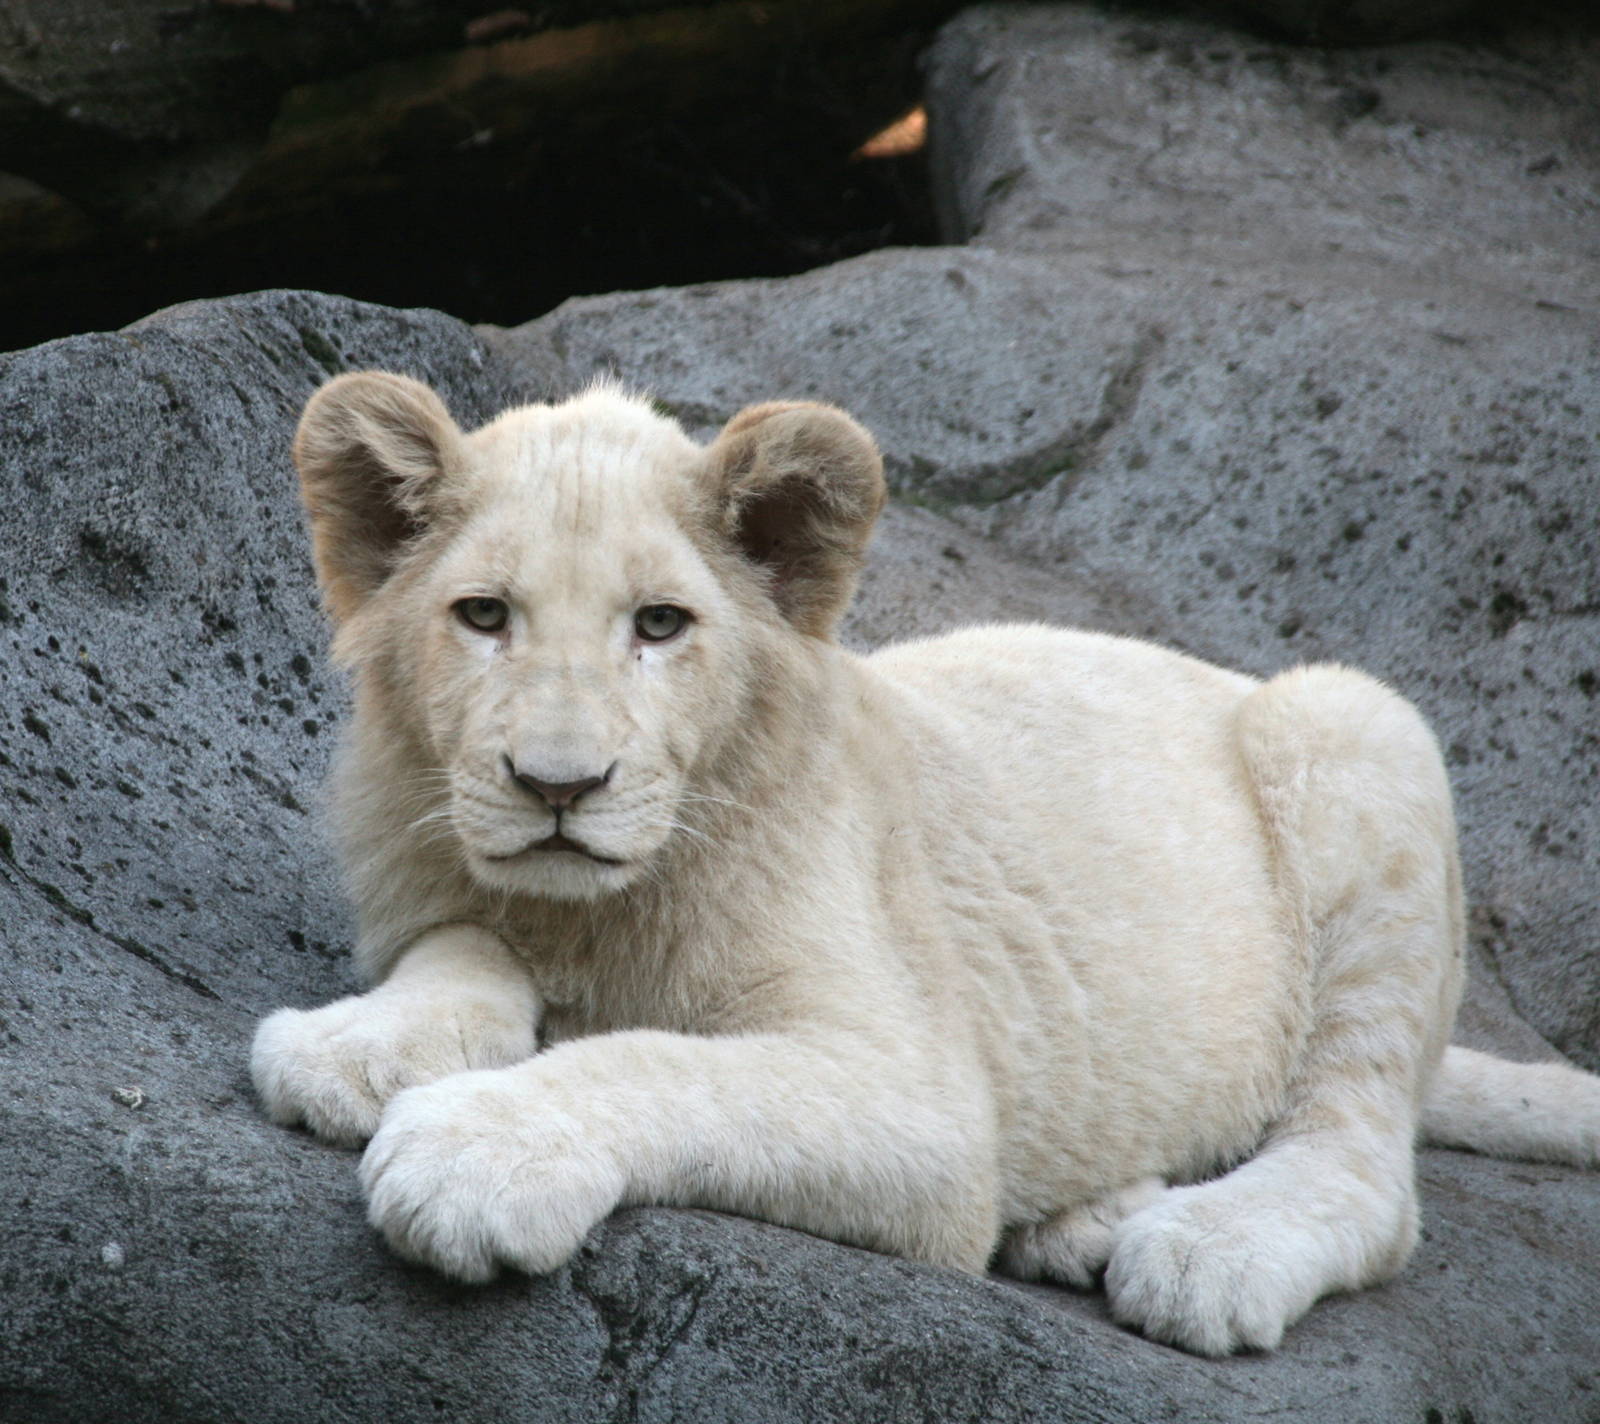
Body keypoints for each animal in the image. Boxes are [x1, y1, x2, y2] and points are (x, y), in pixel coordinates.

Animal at [251, 371, 1600, 1356]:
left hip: (1354, 729)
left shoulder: (923, 1098)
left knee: (1364, 1161)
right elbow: (463, 945)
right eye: (484, 615)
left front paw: (475, 1150)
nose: (558, 786)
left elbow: (658, 1063)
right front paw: (353, 1047)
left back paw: (1200, 1248)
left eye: (660, 624)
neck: (595, 915)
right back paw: (1085, 1216)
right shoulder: (432, 892)